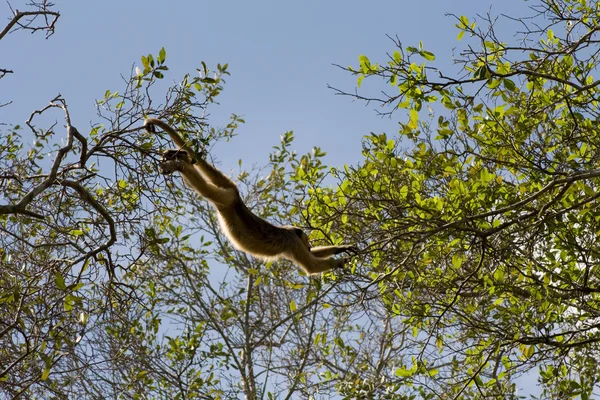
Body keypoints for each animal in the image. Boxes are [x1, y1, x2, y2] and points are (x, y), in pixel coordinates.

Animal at [144, 118, 356, 276]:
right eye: (306, 240)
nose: (309, 246)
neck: (290, 232)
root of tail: (238, 200)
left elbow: (314, 259)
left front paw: (340, 248)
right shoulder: (293, 243)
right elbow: (311, 266)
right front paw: (340, 260)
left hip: (227, 190)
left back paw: (179, 156)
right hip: (226, 198)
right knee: (203, 187)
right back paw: (179, 165)